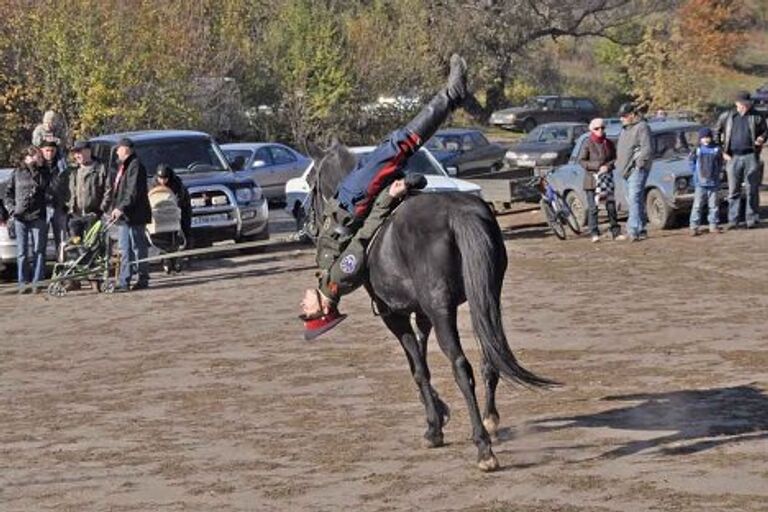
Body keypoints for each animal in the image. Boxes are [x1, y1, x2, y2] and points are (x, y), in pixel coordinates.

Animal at [306, 142, 560, 470]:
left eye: (312, 183)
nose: (311, 226)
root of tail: (458, 214)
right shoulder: (423, 312)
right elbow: (423, 359)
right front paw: (438, 415)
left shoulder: (396, 315)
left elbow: (417, 367)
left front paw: (434, 427)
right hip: (487, 296)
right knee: (490, 356)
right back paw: (490, 420)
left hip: (442, 311)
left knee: (461, 367)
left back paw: (484, 448)